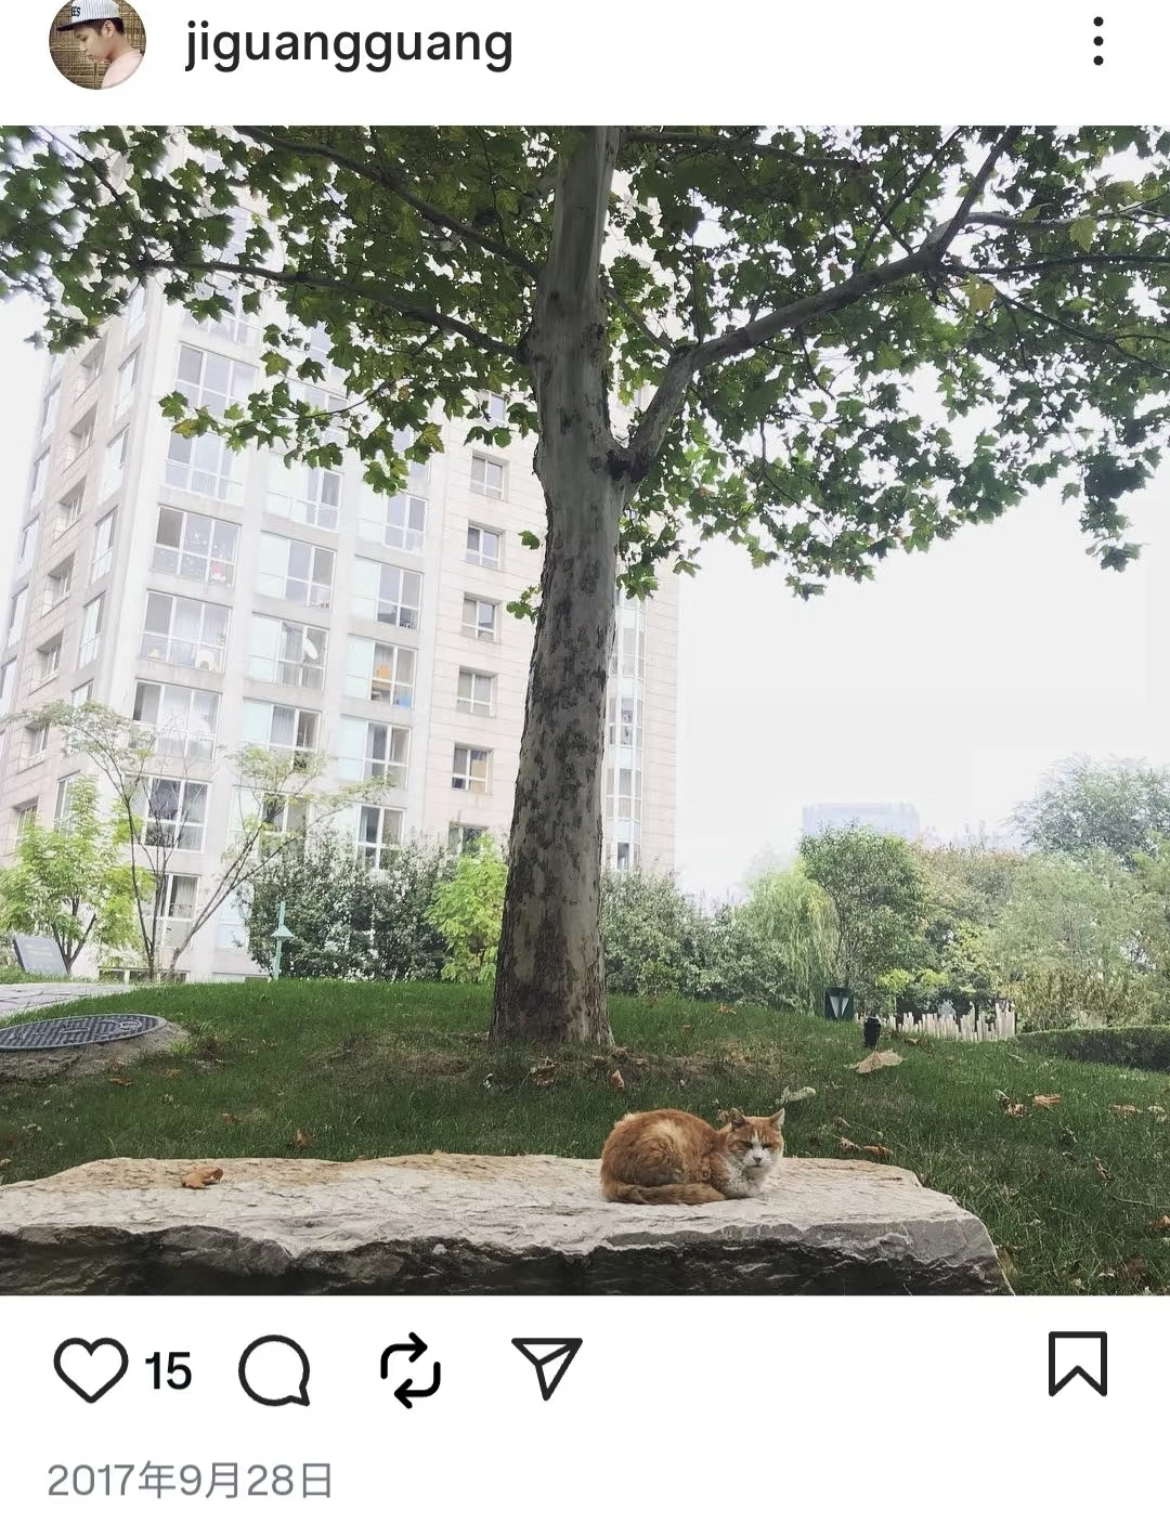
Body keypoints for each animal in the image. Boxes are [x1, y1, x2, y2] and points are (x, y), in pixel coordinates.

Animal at [600, 1106, 785, 1204]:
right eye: (746, 1144)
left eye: (767, 1145)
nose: (757, 1158)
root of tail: (607, 1166)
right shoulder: (714, 1173)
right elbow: (746, 1190)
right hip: (668, 1142)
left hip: (628, 1117)